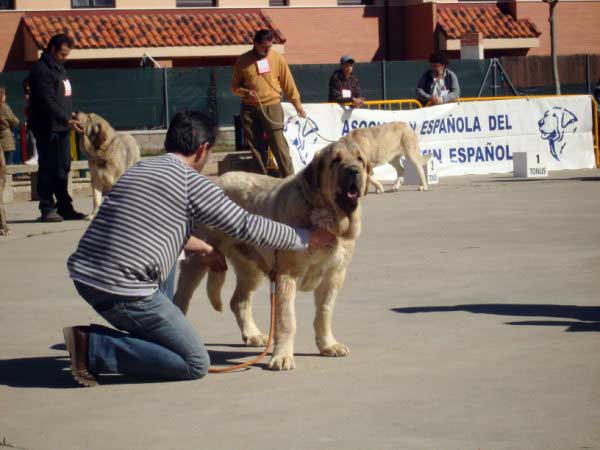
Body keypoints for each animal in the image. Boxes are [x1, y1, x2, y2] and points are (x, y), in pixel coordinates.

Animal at [173, 142, 370, 370]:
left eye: (360, 160)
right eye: (336, 160)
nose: (354, 171)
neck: (327, 217)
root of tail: (217, 180)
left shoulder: (333, 277)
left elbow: (324, 313)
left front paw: (328, 345)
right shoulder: (286, 275)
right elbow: (287, 319)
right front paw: (282, 356)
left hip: (251, 269)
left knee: (238, 300)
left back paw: (252, 334)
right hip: (197, 260)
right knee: (181, 296)